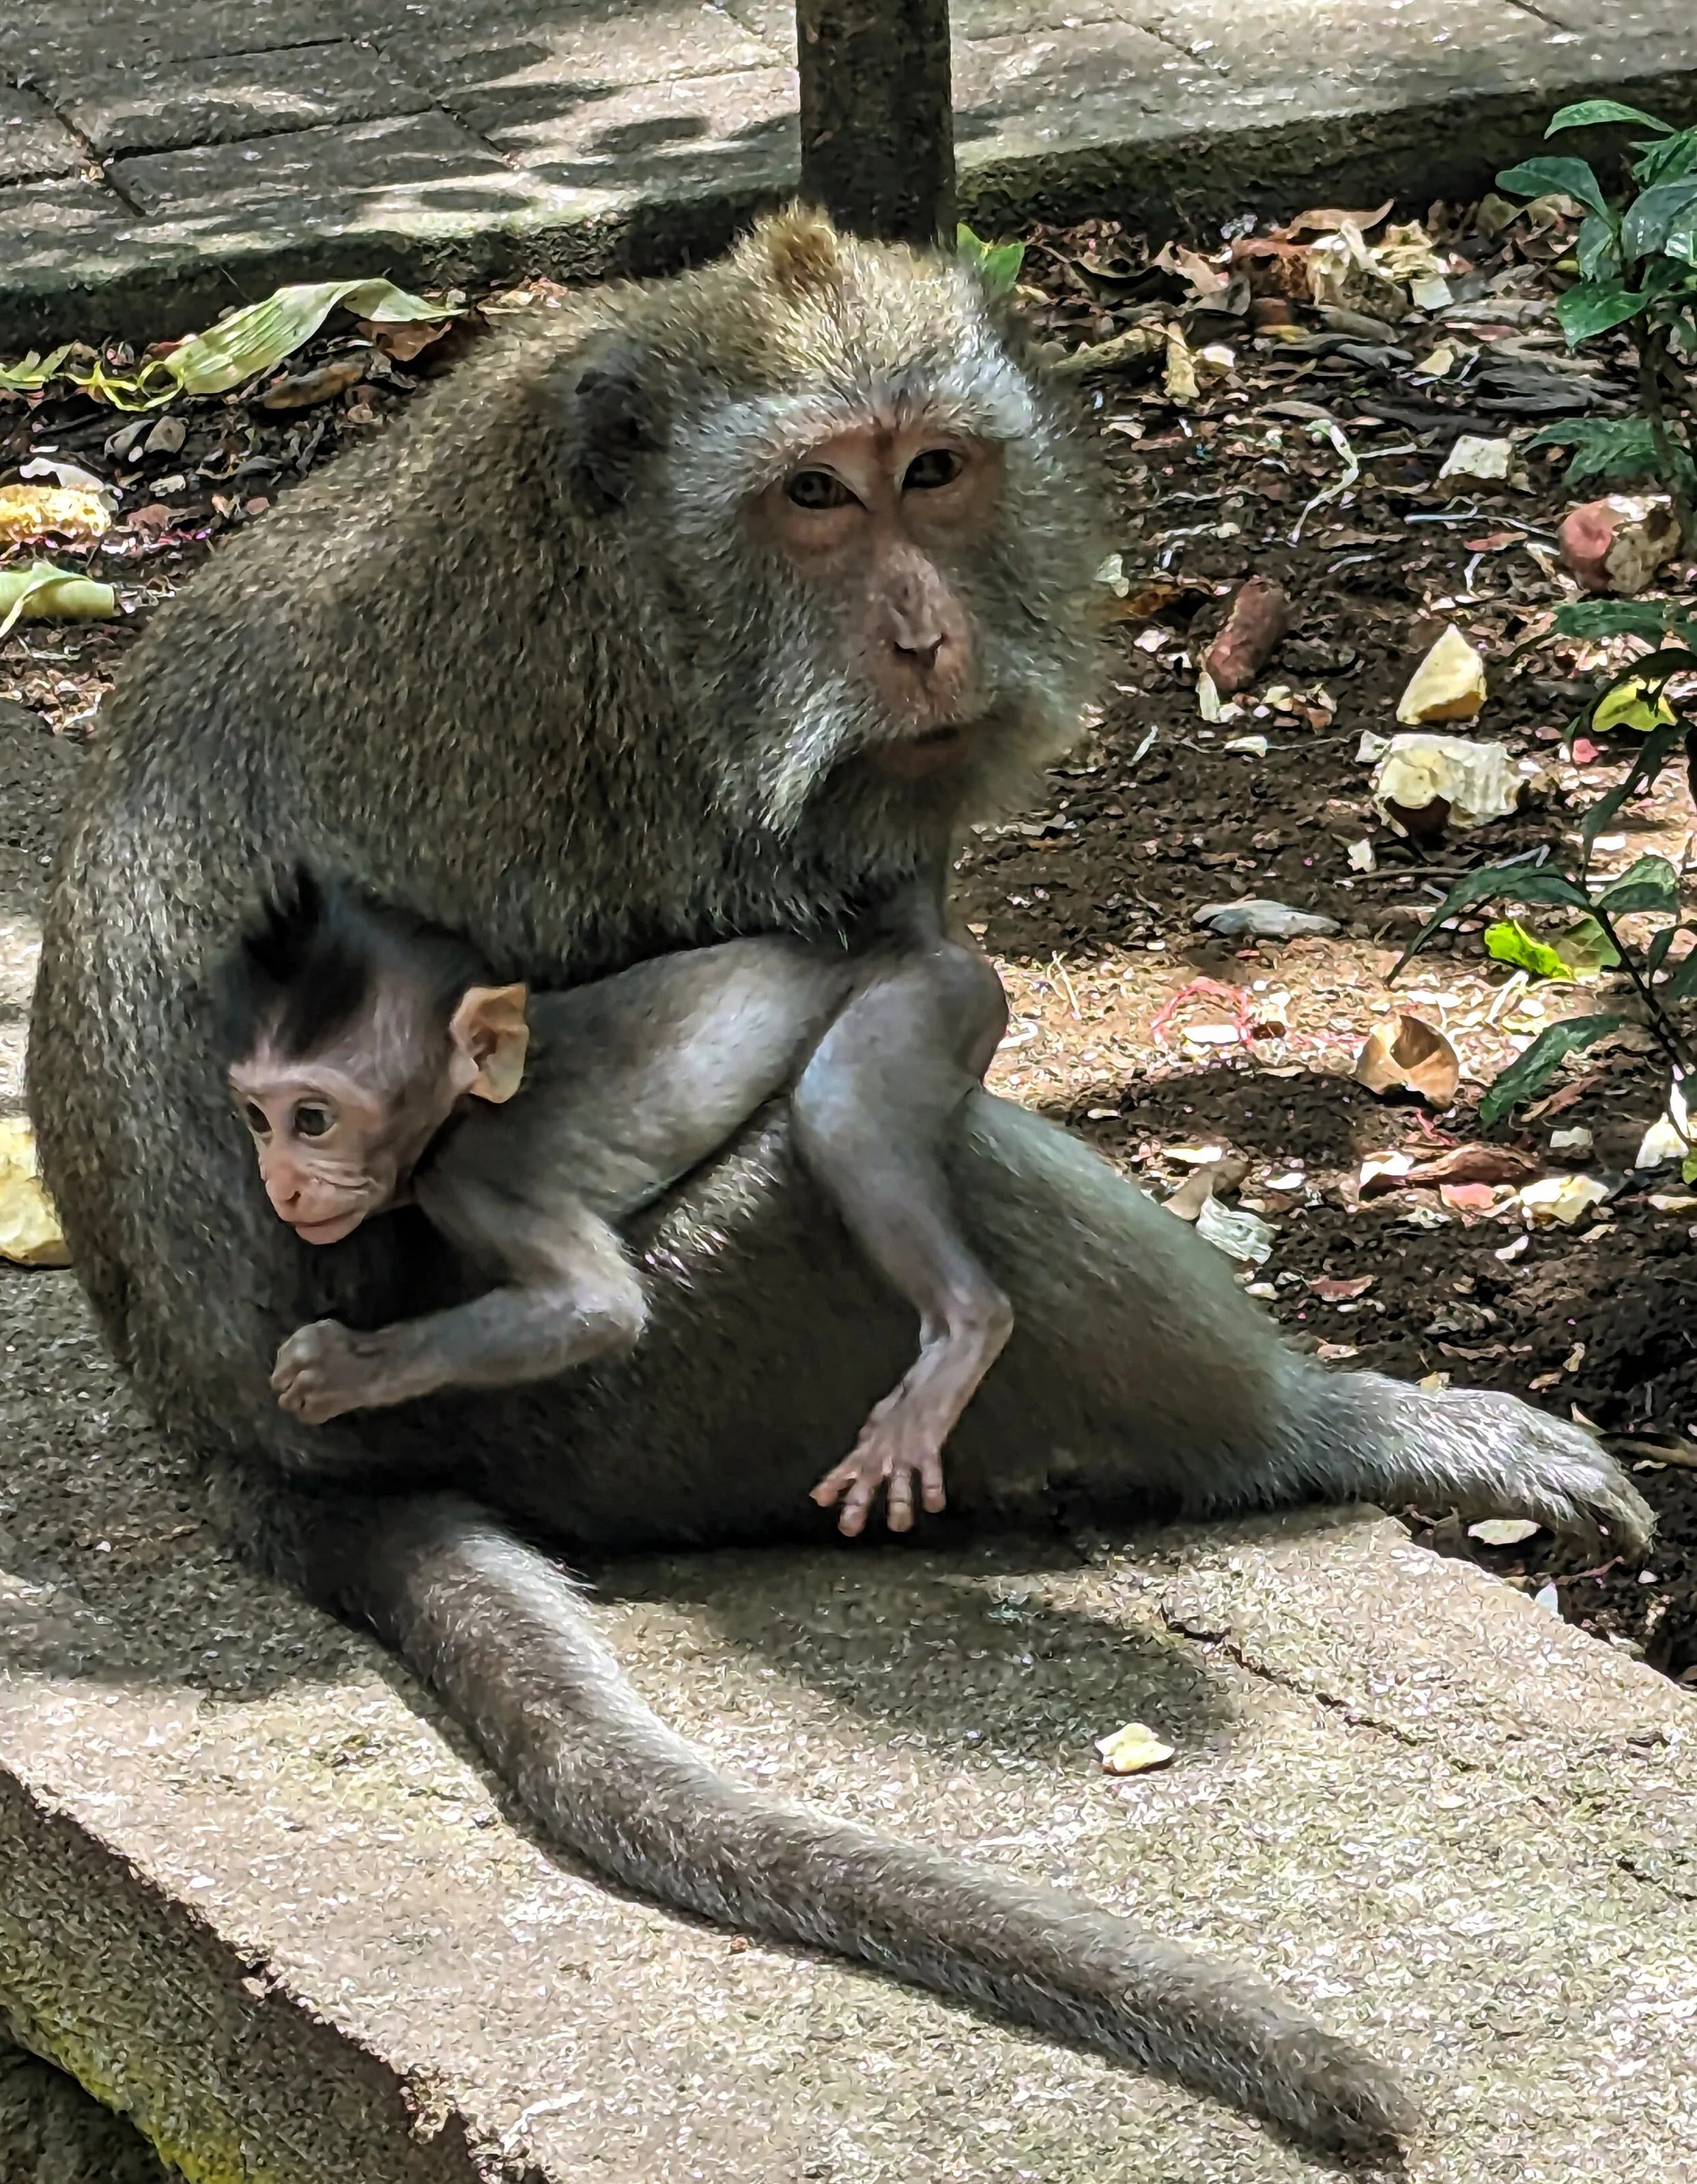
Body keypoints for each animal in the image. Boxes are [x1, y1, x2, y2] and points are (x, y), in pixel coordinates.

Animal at [223, 870, 1011, 1535]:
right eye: (259, 1119)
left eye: (313, 1120)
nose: (281, 1184)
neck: (459, 1113)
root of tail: (913, 939)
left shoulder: (477, 1183)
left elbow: (598, 1305)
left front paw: (348, 1365)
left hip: (928, 995)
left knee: (840, 1102)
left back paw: (966, 1329)